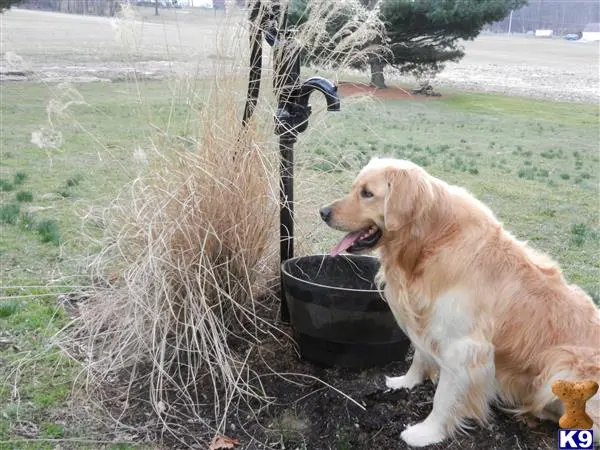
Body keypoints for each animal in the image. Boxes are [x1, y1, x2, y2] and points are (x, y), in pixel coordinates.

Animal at [318, 157, 600, 446]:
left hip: (562, 365)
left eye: (367, 193)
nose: (323, 212)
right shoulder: (428, 319)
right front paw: (406, 382)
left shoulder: (464, 346)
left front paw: (427, 432)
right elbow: (419, 356)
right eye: (355, 188)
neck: (432, 241)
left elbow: (443, 398)